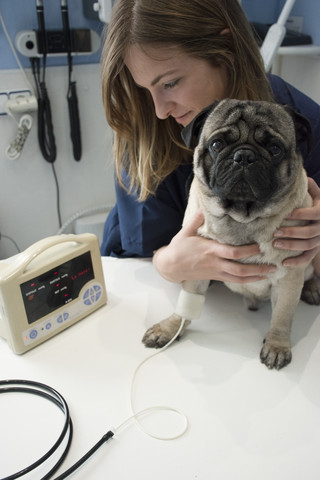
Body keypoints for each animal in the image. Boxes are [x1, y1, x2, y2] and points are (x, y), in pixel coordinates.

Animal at [143, 98, 320, 372]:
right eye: (217, 144)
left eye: (275, 148)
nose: (244, 156)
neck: (242, 217)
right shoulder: (197, 266)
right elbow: (185, 309)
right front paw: (170, 328)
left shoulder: (289, 277)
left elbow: (282, 317)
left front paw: (277, 346)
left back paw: (312, 288)